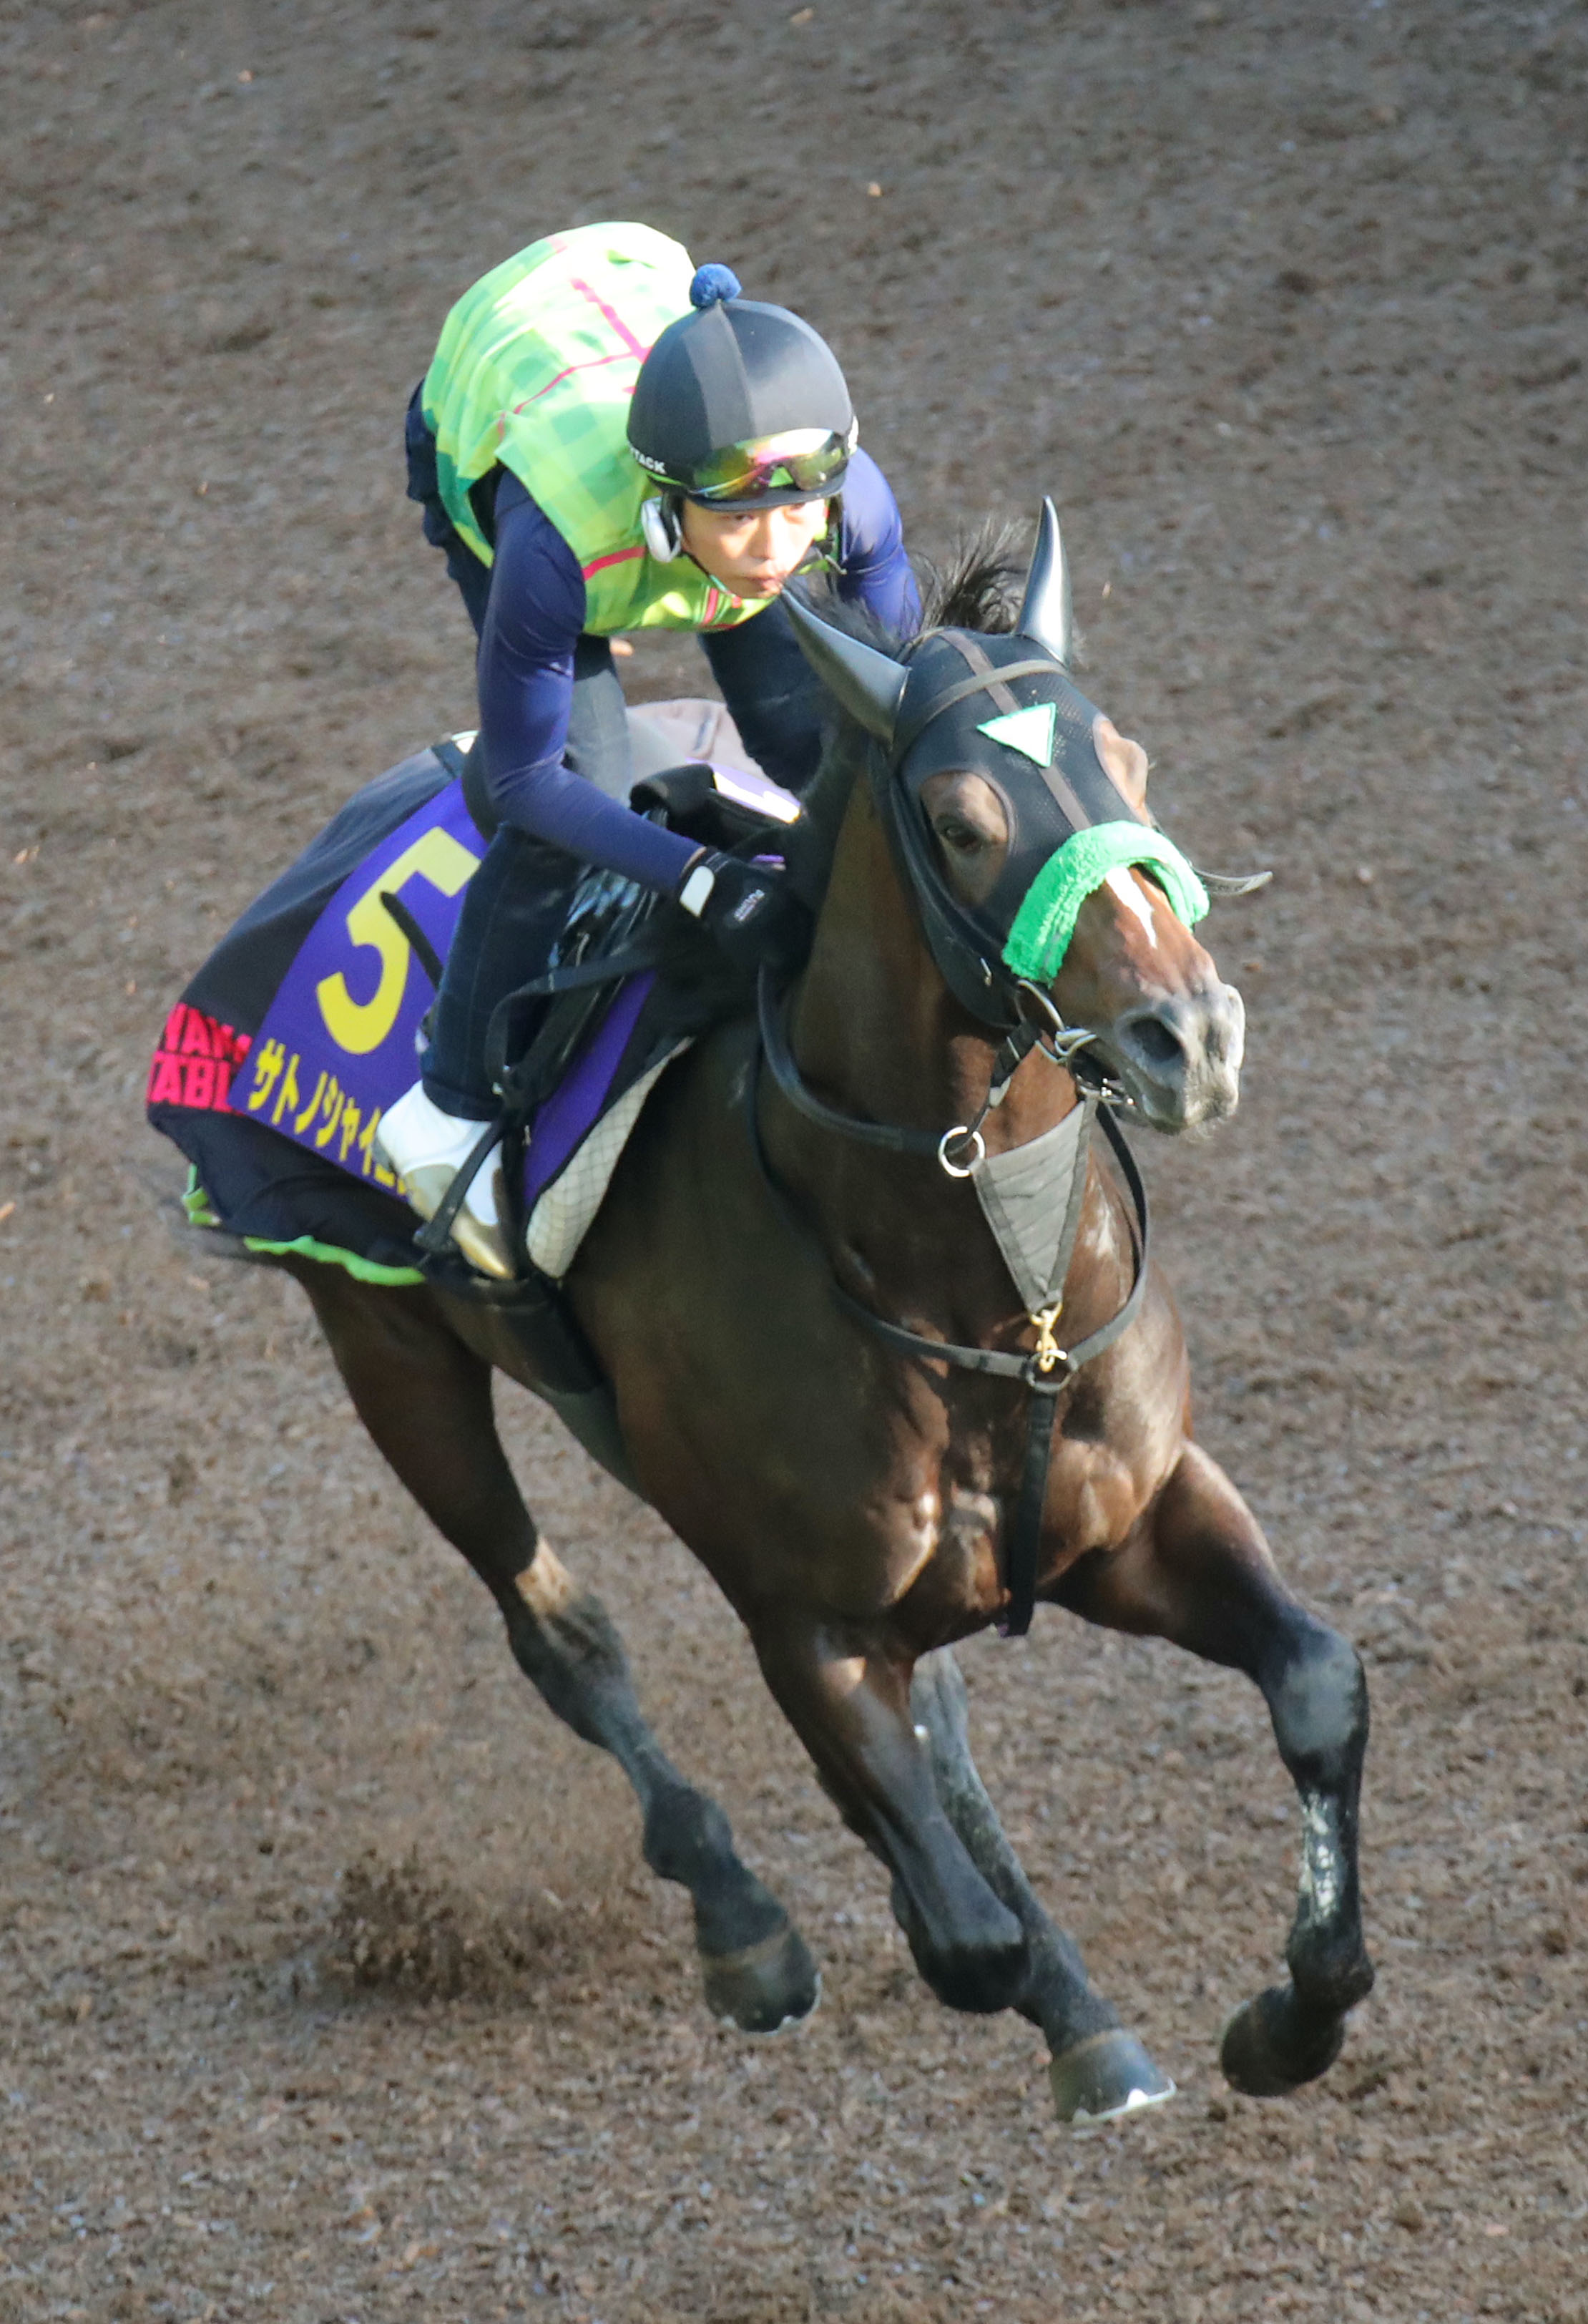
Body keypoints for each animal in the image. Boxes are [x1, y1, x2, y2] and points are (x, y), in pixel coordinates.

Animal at [185, 509, 1373, 2124]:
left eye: (1128, 761)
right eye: (958, 821)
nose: (1188, 1035)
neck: (975, 1285)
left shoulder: (1132, 1515)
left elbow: (1316, 1683)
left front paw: (1285, 2020)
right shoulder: (802, 1619)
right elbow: (962, 1940)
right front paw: (937, 1951)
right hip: (385, 1343)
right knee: (559, 1629)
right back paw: (739, 1919)